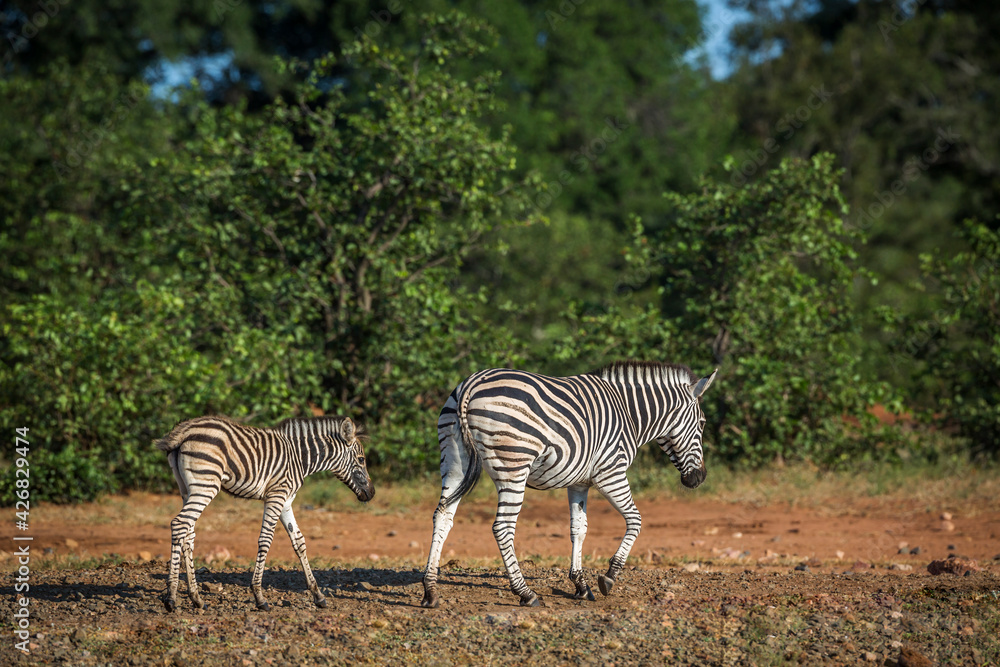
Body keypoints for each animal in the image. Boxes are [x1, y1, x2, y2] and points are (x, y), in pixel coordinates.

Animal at [156, 414, 375, 612]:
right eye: (361, 459)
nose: (371, 493)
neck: (300, 457)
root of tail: (185, 430)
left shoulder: (286, 502)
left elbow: (299, 542)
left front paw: (318, 595)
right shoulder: (276, 495)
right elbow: (266, 539)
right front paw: (259, 597)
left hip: (187, 489)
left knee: (188, 534)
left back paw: (196, 599)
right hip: (206, 485)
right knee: (179, 524)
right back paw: (171, 598)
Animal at [421, 361, 717, 608]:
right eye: (703, 423)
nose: (699, 479)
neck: (630, 414)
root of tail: (471, 383)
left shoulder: (579, 482)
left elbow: (579, 529)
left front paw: (581, 585)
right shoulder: (611, 472)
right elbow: (635, 519)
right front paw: (609, 576)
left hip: (454, 462)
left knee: (442, 516)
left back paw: (430, 591)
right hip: (514, 464)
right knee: (502, 527)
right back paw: (525, 593)